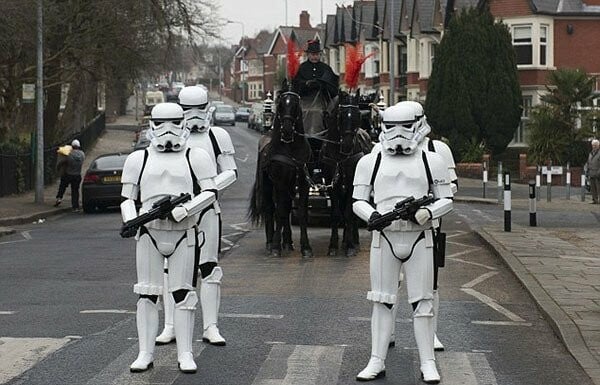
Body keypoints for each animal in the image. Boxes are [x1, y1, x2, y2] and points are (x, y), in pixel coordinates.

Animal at [250, 89, 314, 256]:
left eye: (295, 105)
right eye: (280, 105)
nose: (286, 130)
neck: (290, 150)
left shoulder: (303, 183)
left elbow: (301, 212)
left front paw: (306, 247)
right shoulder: (280, 182)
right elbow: (280, 211)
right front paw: (275, 246)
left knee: (285, 207)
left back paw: (287, 241)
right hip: (268, 185)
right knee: (271, 208)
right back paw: (271, 241)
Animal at [322, 90, 372, 256]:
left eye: (358, 114)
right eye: (341, 115)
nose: (348, 144)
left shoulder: (351, 183)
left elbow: (349, 213)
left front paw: (350, 246)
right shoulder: (331, 183)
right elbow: (336, 214)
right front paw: (333, 246)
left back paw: (353, 241)